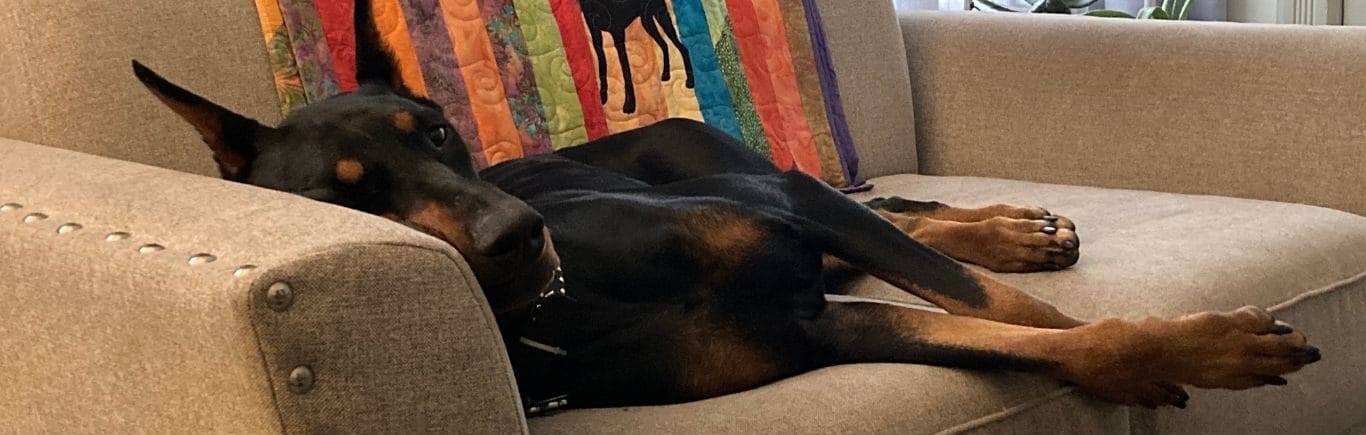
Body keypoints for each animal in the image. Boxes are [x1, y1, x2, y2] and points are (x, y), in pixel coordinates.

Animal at [132, 0, 1319, 413]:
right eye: (354, 199)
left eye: (435, 133)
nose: (520, 235)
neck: (570, 308)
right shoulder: (815, 331)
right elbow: (1023, 335)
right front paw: (1163, 354)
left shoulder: (783, 215)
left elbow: (1013, 313)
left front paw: (1188, 337)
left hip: (707, 153)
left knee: (880, 203)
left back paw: (1013, 229)